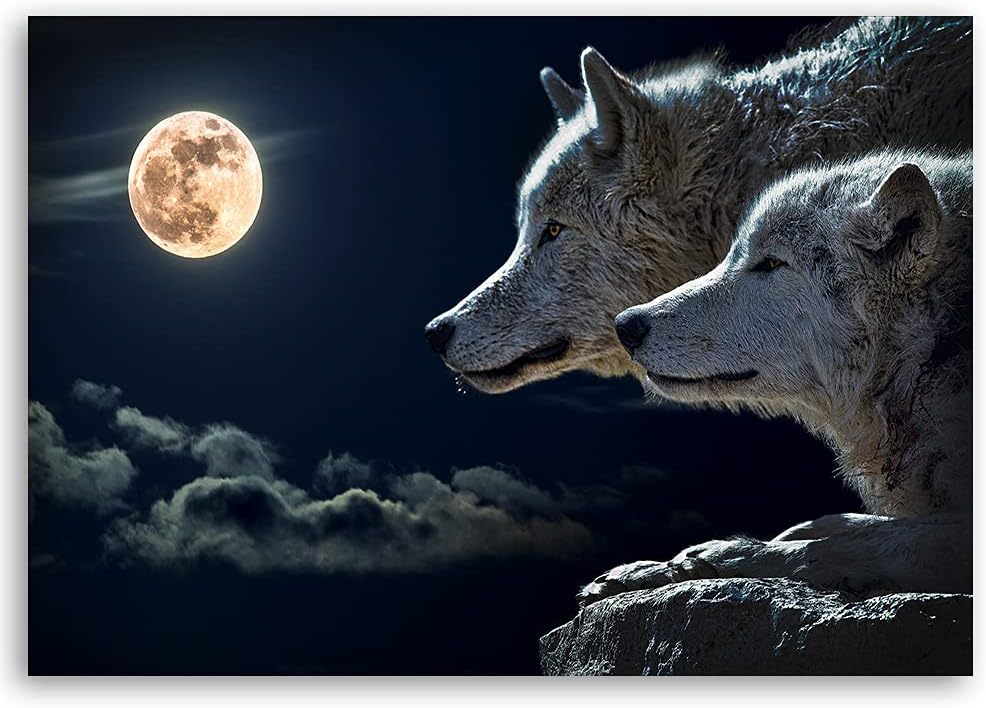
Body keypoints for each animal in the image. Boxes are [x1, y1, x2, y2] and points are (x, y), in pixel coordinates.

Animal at [577, 148, 972, 605]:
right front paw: (651, 568)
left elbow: (834, 546)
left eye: (770, 263)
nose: (625, 325)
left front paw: (715, 558)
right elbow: (840, 525)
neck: (932, 350)